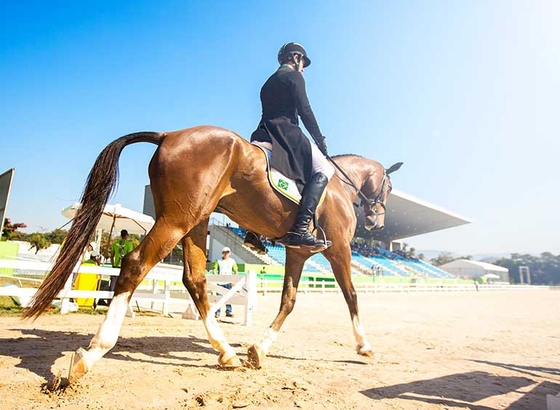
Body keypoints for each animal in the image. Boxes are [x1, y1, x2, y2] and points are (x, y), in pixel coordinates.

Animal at [25, 125, 402, 384]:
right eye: (388, 187)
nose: (378, 223)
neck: (339, 186)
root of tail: (168, 135)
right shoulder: (339, 249)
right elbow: (351, 295)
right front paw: (364, 346)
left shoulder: (296, 253)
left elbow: (289, 301)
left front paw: (258, 350)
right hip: (177, 221)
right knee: (135, 265)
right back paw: (89, 357)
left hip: (196, 222)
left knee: (194, 279)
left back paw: (227, 353)